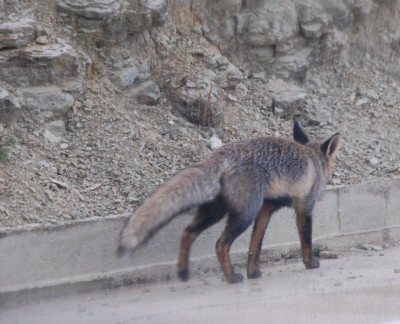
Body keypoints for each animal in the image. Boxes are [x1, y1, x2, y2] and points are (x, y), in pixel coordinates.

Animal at [118, 121, 340, 284]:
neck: (313, 159)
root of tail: (219, 153)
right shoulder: (305, 207)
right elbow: (306, 242)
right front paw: (310, 263)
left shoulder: (265, 208)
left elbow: (255, 246)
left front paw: (253, 273)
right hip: (243, 214)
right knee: (220, 244)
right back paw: (231, 277)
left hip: (218, 212)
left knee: (188, 232)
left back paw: (183, 272)